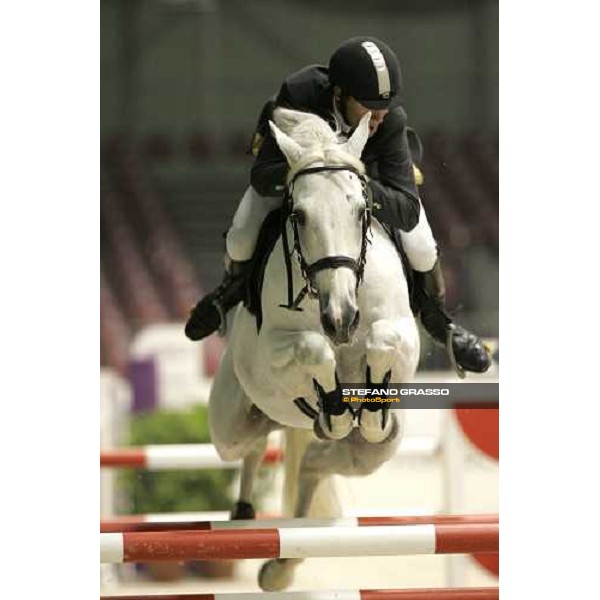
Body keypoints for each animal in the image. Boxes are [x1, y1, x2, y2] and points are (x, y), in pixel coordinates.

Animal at [209, 109, 420, 592]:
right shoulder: (272, 352)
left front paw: (367, 409)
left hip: (371, 454)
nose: (342, 318)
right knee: (251, 445)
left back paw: (282, 565)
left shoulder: (403, 334)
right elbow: (313, 350)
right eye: (300, 216)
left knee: (312, 465)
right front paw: (335, 408)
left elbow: (384, 340)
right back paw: (247, 518)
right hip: (229, 422)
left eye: (361, 211)